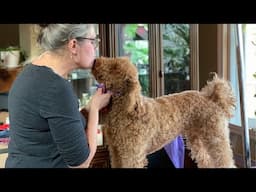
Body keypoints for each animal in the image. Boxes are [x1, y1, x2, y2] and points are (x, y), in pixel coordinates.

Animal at [91, 56, 236, 168]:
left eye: (115, 67)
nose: (95, 61)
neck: (127, 109)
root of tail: (211, 98)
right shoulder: (116, 152)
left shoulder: (132, 155)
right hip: (198, 140)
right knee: (206, 161)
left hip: (215, 137)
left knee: (226, 162)